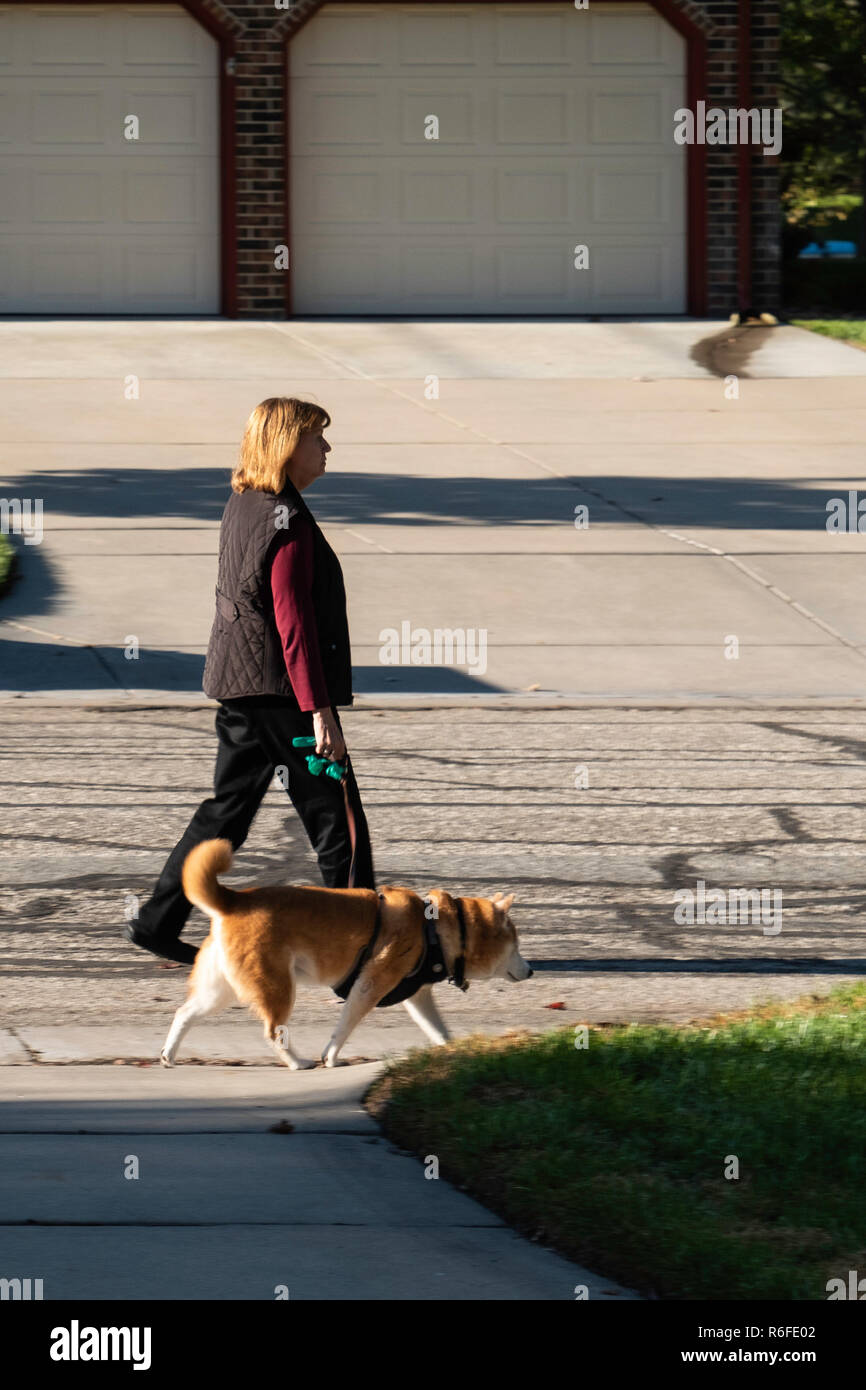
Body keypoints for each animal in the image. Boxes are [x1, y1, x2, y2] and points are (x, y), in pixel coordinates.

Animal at [159, 839, 530, 1067]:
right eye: (516, 946)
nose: (530, 970)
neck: (435, 929)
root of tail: (233, 900)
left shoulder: (417, 996)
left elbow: (438, 1030)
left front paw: (454, 1053)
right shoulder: (369, 986)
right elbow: (344, 1028)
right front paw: (331, 1057)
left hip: (222, 988)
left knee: (184, 1013)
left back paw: (168, 1054)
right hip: (276, 986)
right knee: (274, 1032)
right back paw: (299, 1063)